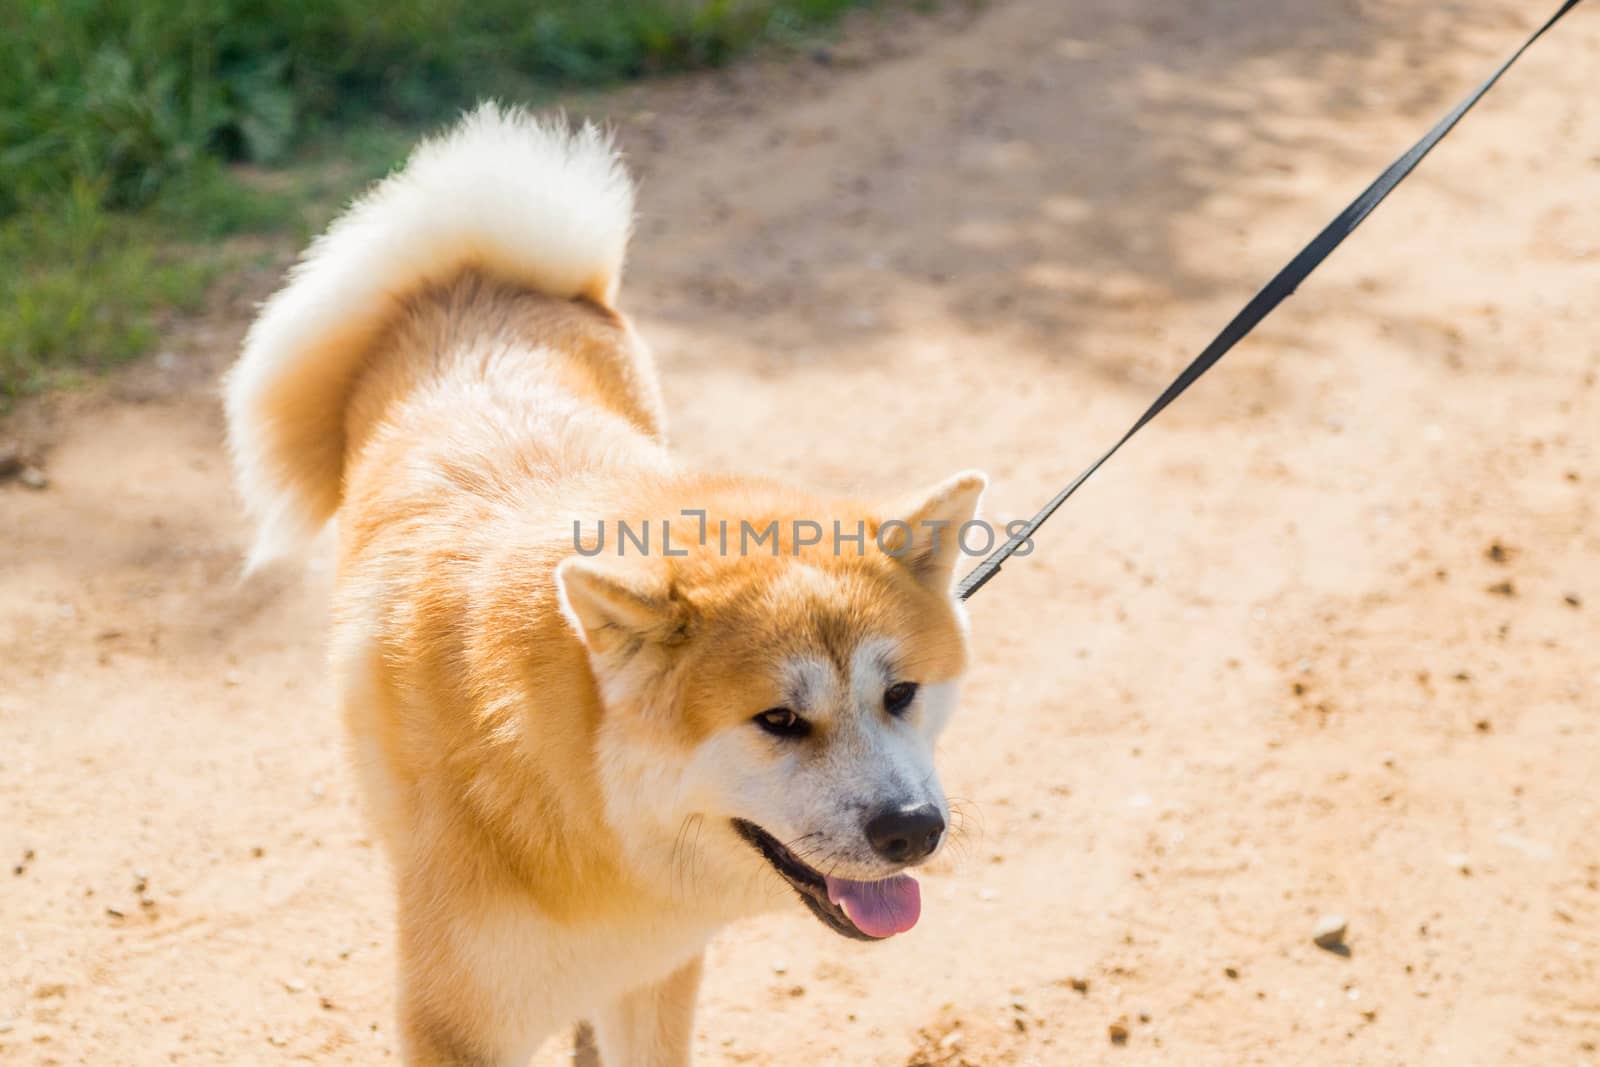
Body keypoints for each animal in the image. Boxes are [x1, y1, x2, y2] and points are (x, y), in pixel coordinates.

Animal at [222, 102, 972, 1067]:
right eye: (777, 720)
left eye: (902, 693)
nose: (913, 828)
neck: (584, 798)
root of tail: (475, 278)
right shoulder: (456, 1021)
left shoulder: (656, 975)